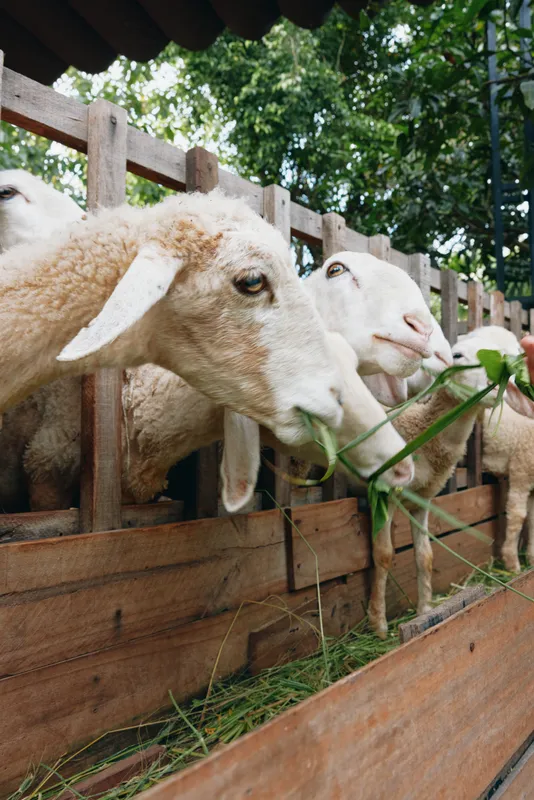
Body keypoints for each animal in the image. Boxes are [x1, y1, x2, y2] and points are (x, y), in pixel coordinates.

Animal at [367, 333, 496, 638]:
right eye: (457, 355)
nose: (496, 385)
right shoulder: (384, 493)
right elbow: (384, 554)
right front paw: (379, 624)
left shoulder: (423, 498)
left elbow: (425, 556)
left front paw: (425, 610)